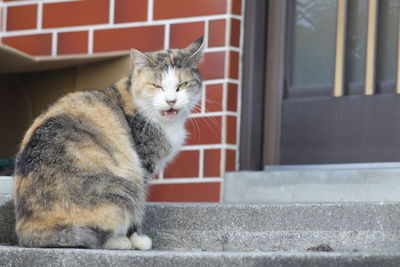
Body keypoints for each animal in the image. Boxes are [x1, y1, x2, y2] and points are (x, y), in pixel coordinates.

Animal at [13, 36, 203, 250]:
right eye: (157, 86)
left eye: (182, 84)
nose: (171, 101)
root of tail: (29, 235)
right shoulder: (143, 167)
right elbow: (139, 211)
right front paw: (139, 239)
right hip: (124, 186)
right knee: (96, 236)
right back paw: (122, 242)